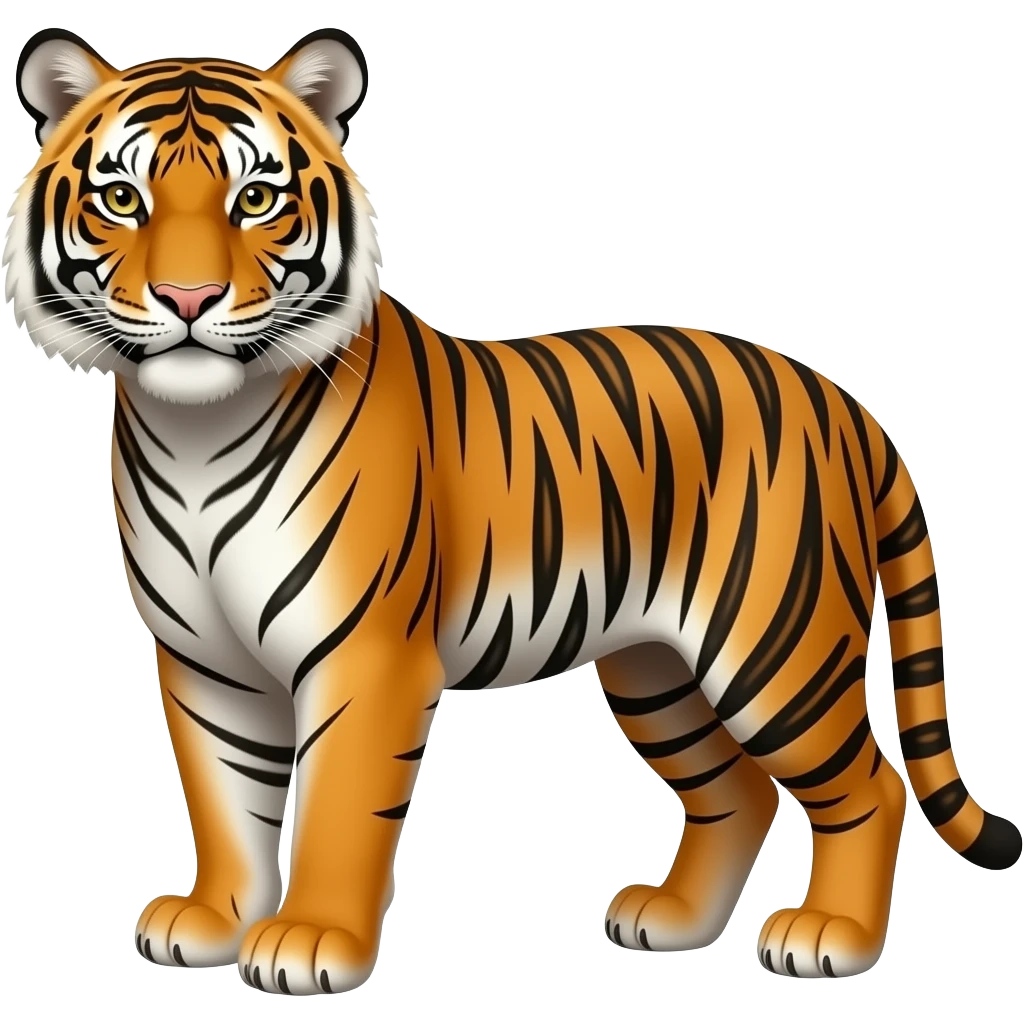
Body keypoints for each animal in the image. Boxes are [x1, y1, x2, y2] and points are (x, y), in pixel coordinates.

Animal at [4, 24, 1018, 998]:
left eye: (255, 199)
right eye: (122, 199)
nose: (188, 298)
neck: (196, 428)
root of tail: (840, 399)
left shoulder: (365, 657)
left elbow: (336, 806)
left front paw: (311, 941)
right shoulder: (205, 662)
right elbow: (224, 800)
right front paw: (213, 919)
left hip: (775, 646)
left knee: (873, 787)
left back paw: (830, 937)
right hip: (658, 670)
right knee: (738, 793)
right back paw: (673, 921)